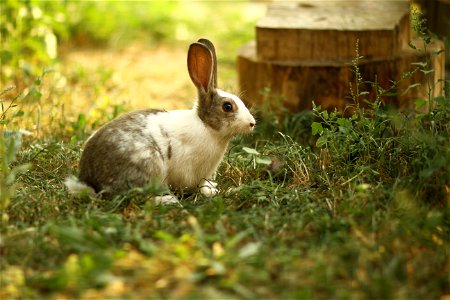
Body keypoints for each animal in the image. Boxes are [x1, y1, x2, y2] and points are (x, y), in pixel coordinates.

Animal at [66, 38, 256, 204]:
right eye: (227, 106)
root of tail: (91, 182)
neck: (206, 126)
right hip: (150, 167)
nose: (252, 123)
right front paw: (209, 192)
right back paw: (167, 200)